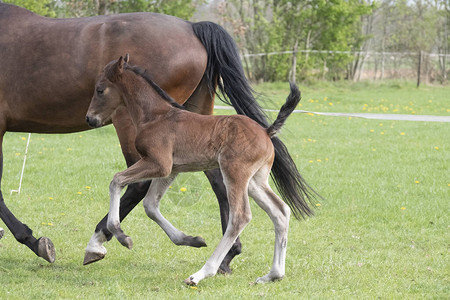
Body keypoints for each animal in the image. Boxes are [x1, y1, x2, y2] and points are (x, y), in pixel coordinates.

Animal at [85, 55, 302, 284]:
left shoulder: (158, 163)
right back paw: (273, 275)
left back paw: (201, 273)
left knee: (240, 216)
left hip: (234, 173)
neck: (155, 116)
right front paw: (191, 239)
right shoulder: (172, 170)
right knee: (280, 211)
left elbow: (116, 180)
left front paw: (121, 235)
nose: (90, 118)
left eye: (100, 90)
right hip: (255, 180)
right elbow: (150, 205)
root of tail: (266, 131)